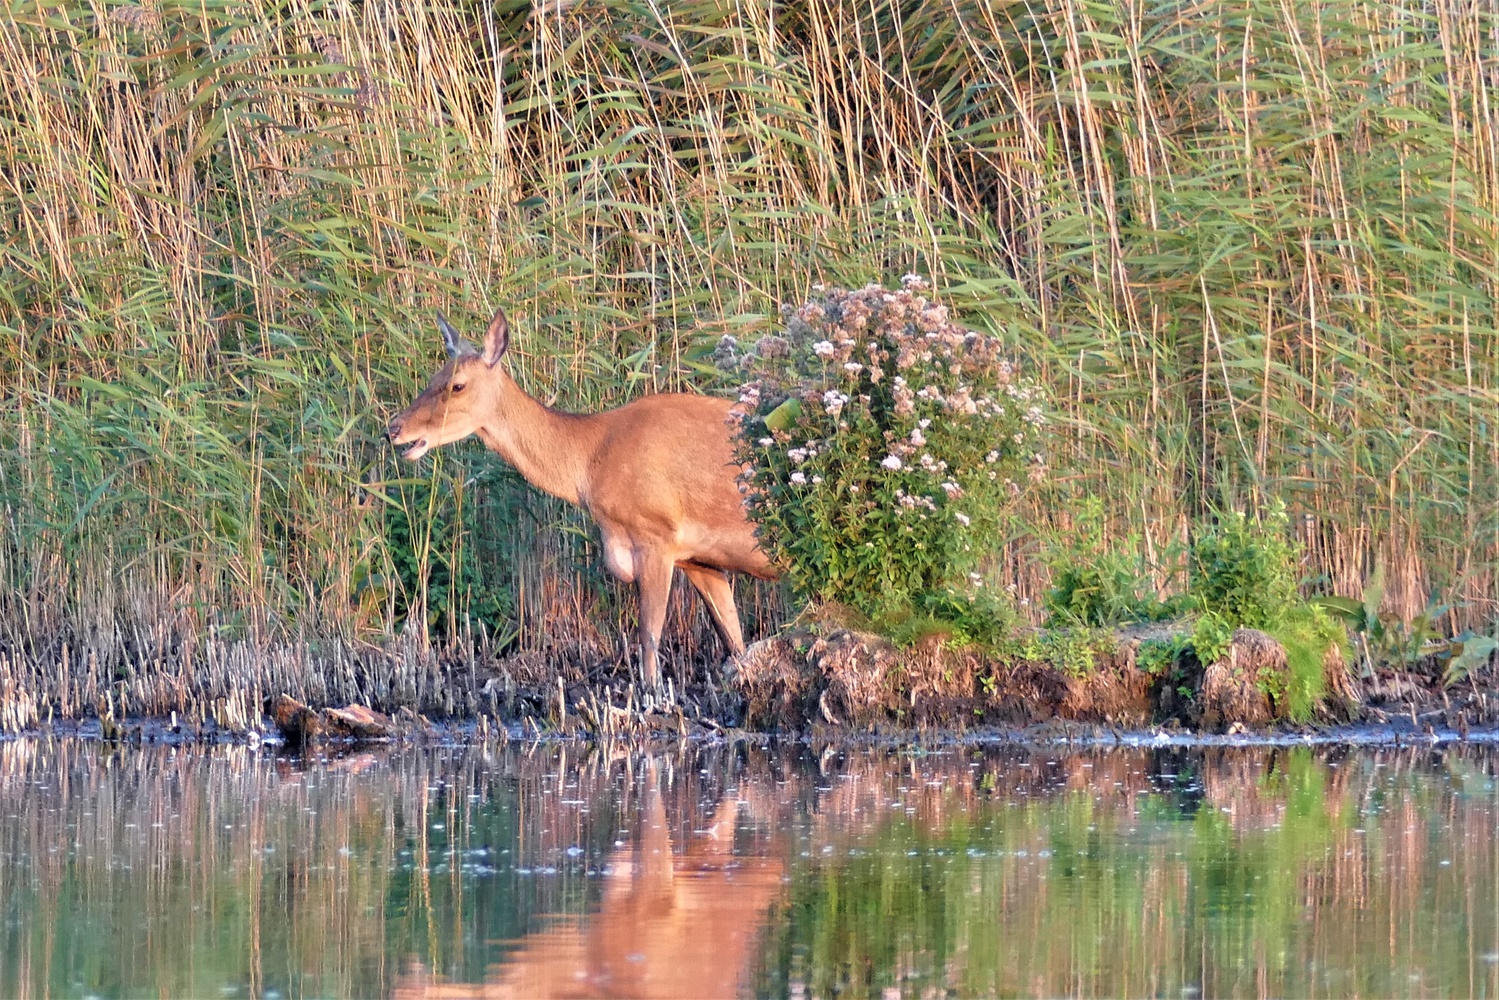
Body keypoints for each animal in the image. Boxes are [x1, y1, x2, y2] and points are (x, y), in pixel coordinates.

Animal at [386, 308, 773, 692]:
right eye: (434, 376)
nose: (394, 428)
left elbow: (649, 637)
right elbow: (734, 641)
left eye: (458, 385)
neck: (591, 461)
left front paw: (652, 693)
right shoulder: (698, 558)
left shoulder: (657, 534)